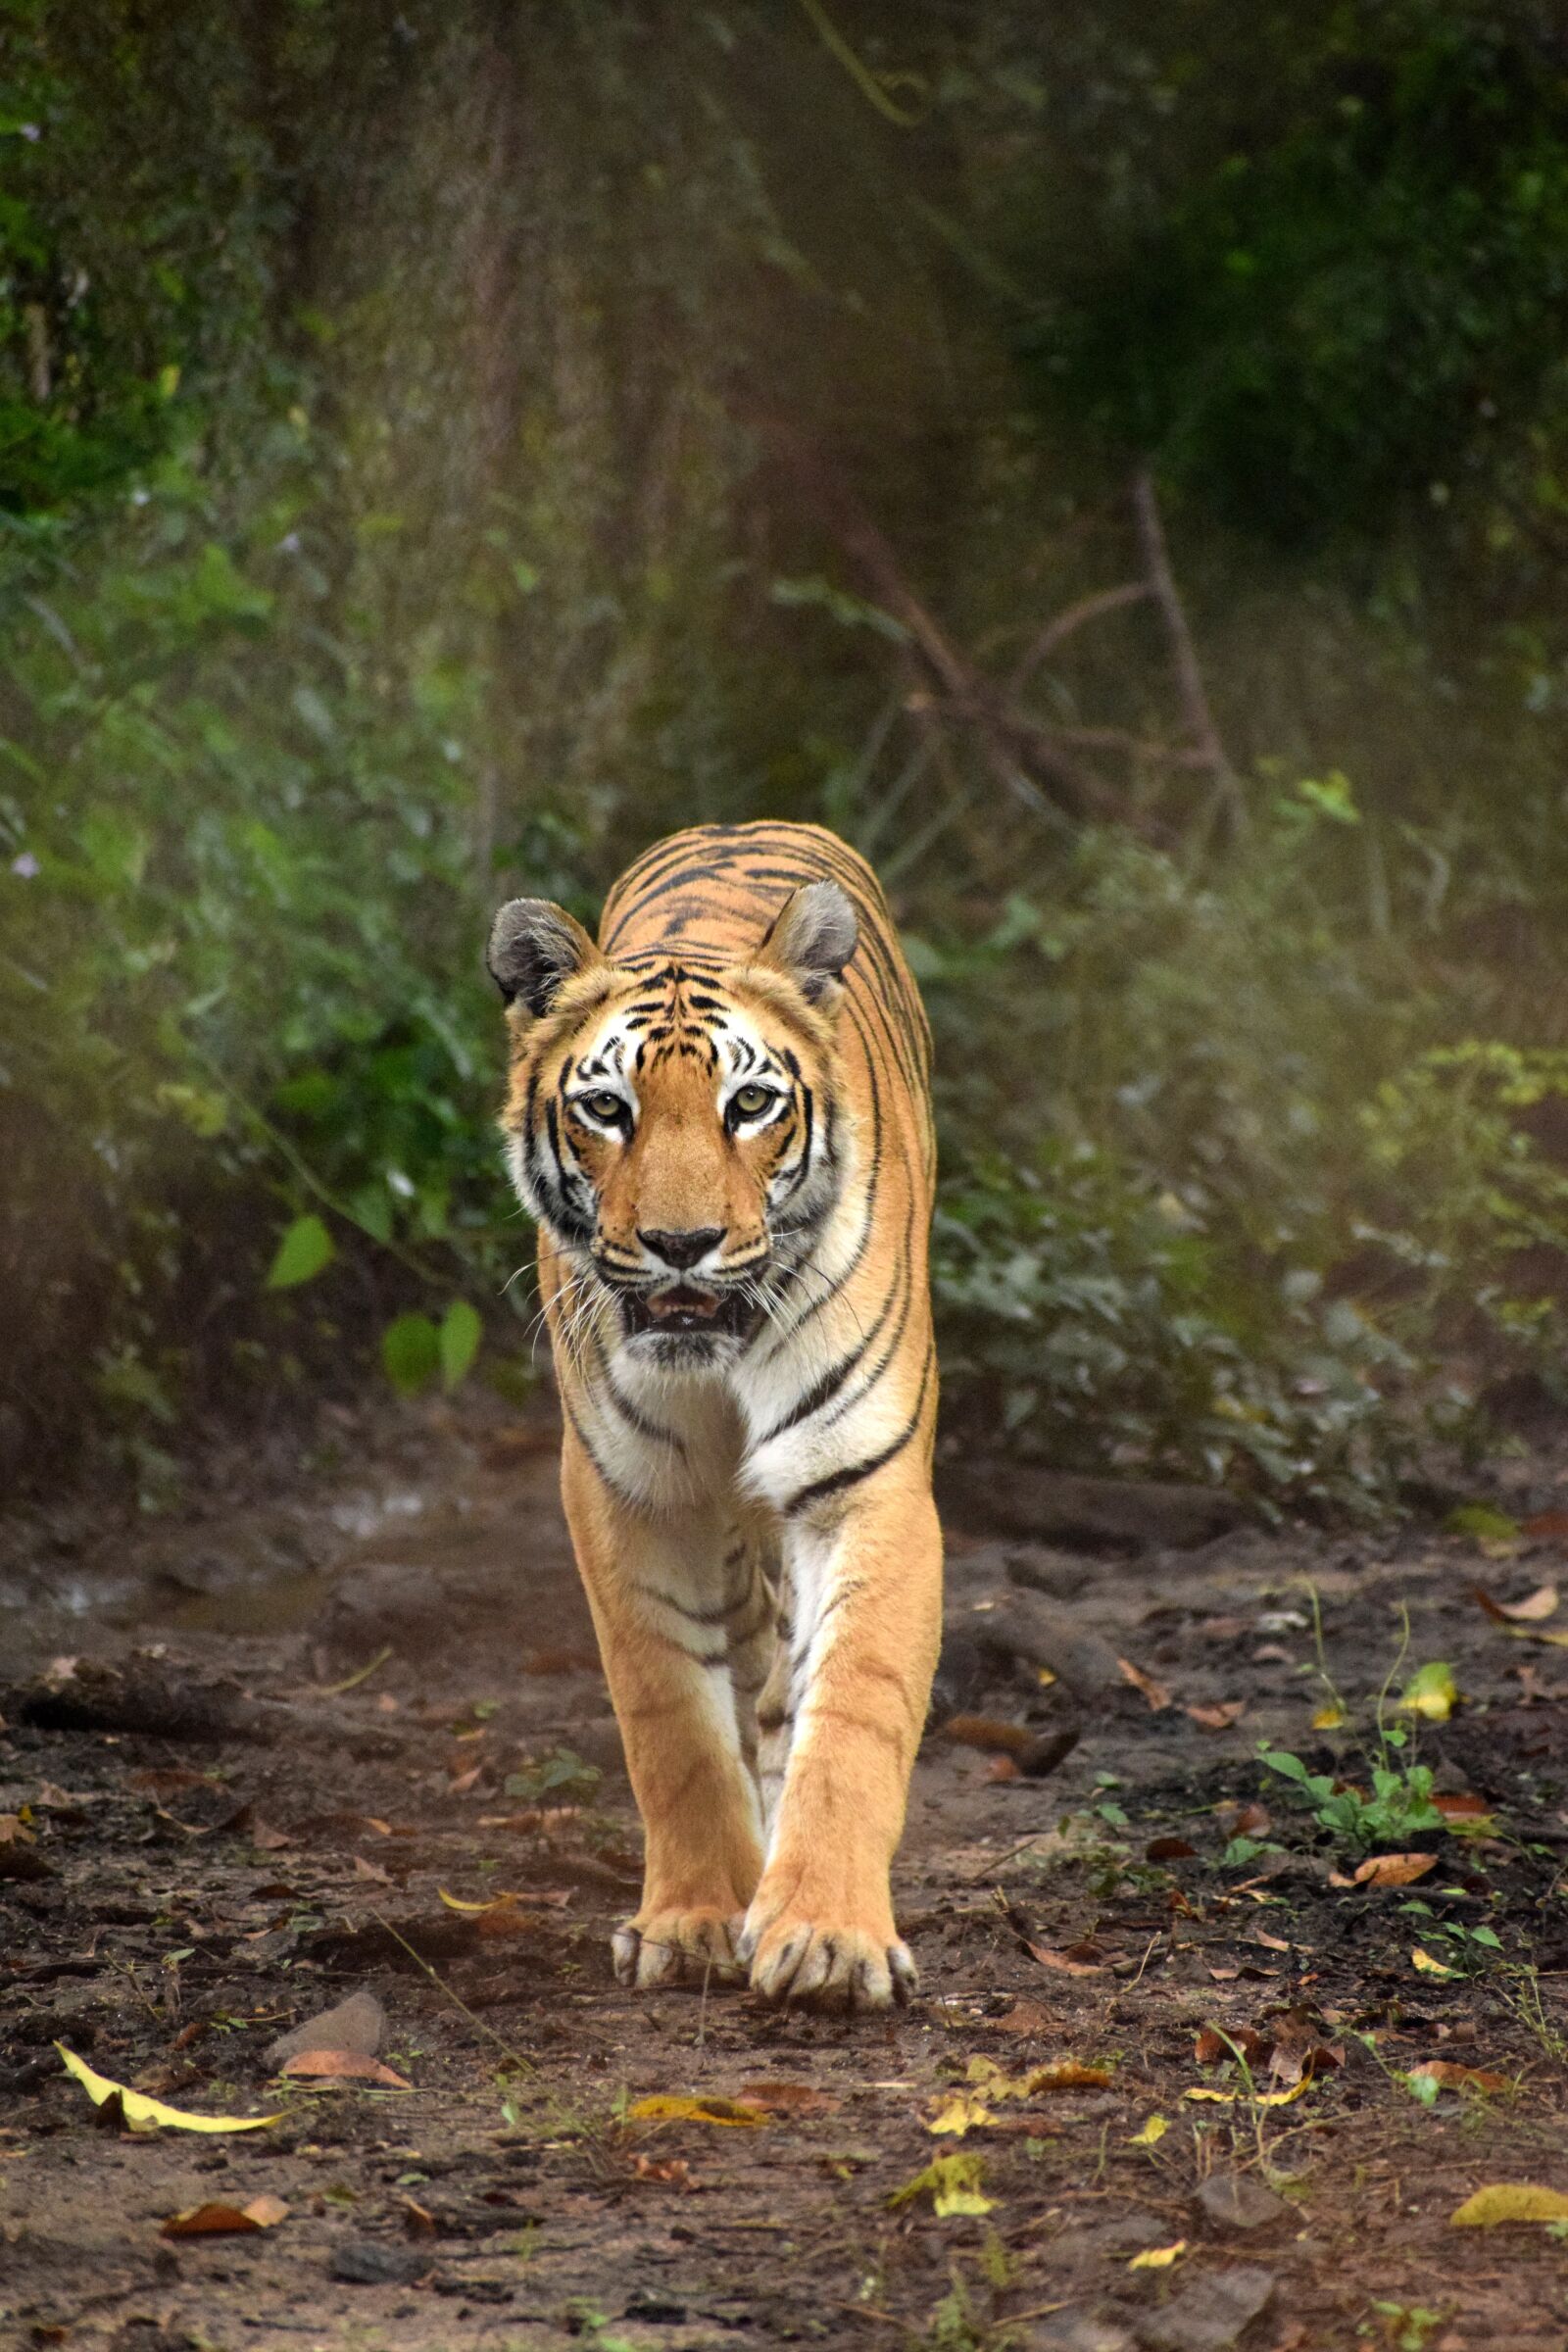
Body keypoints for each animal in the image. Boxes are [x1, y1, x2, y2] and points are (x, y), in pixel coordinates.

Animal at [486, 820, 941, 2012]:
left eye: (750, 1106)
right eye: (608, 1108)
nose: (682, 1245)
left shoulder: (862, 1480)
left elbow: (853, 1707)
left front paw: (827, 1939)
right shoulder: (627, 1489)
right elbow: (671, 1720)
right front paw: (693, 1921)